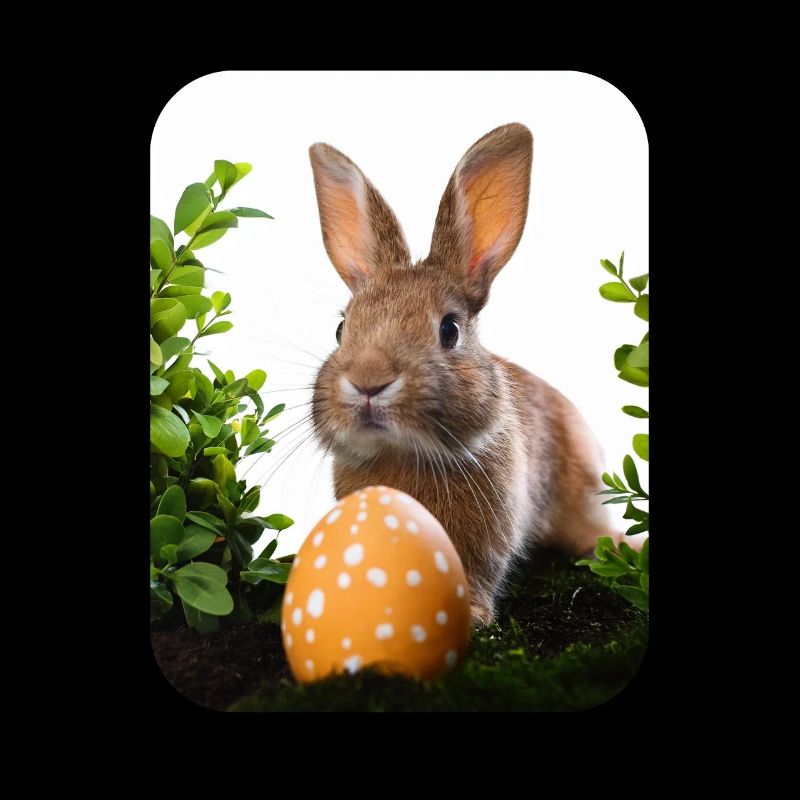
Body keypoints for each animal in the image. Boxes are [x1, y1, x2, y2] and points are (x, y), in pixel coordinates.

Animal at [308, 123, 619, 624]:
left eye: (449, 329)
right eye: (340, 329)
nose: (368, 382)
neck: (407, 453)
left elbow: (477, 573)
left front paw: (471, 615)